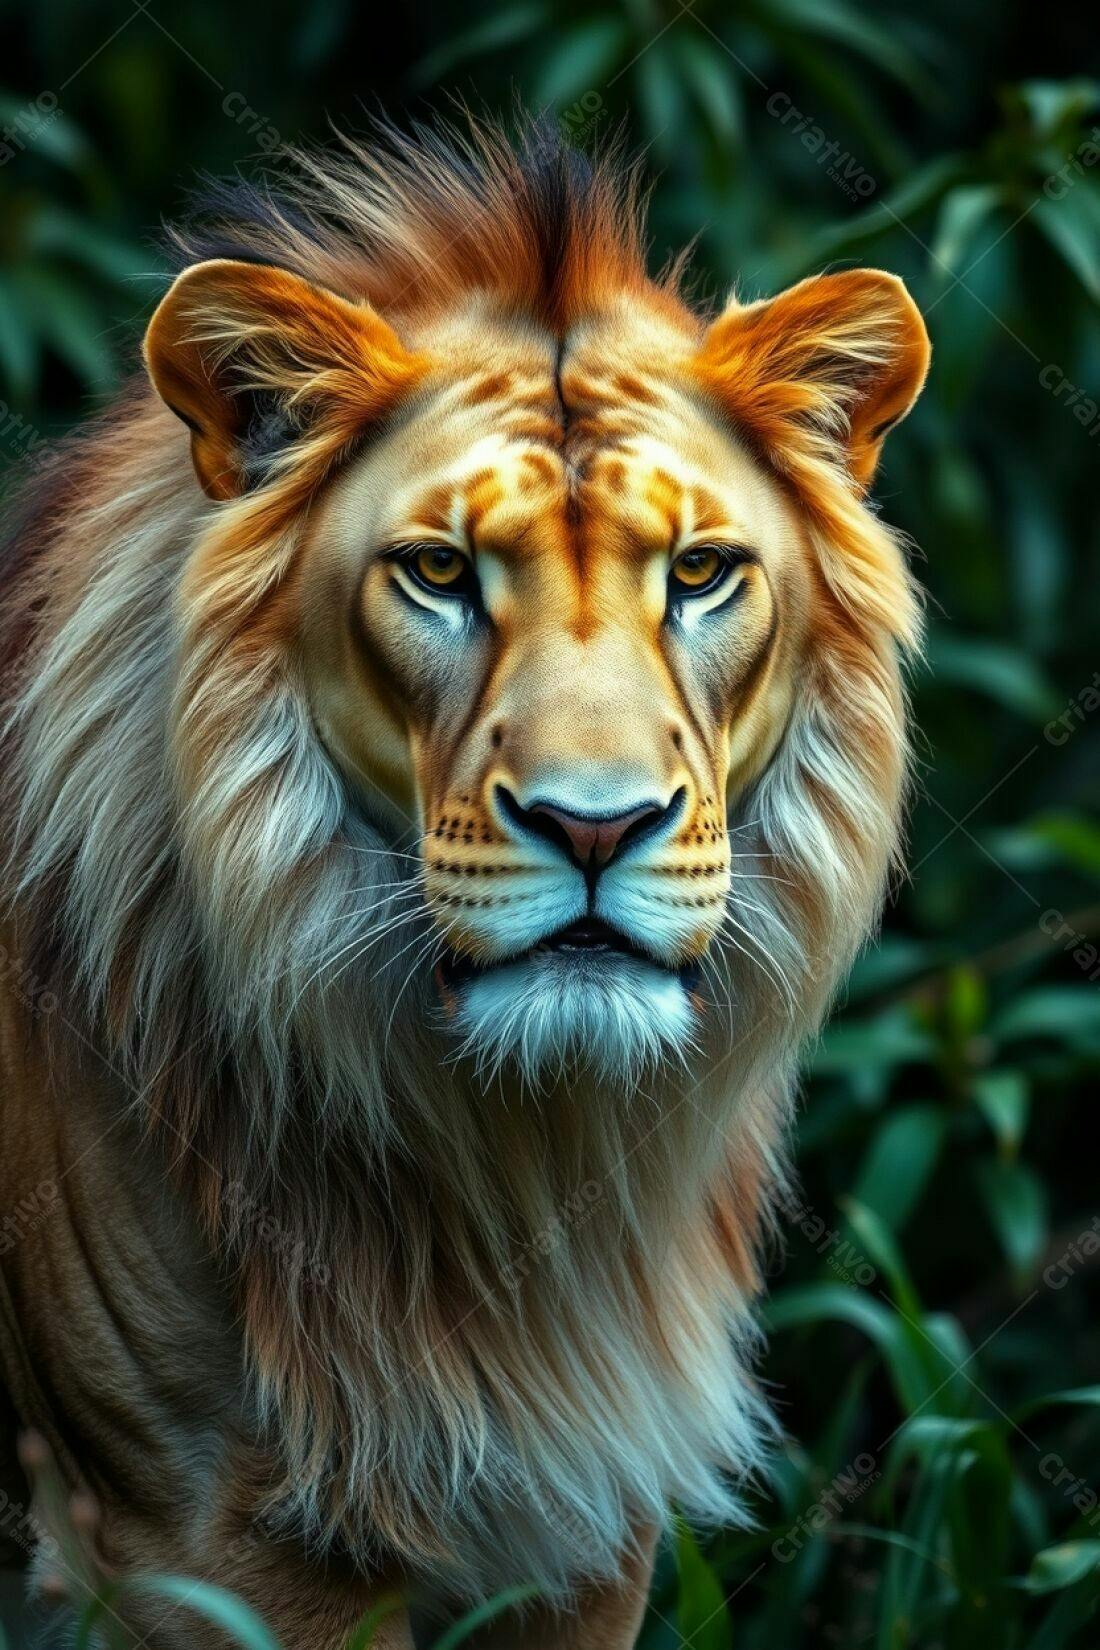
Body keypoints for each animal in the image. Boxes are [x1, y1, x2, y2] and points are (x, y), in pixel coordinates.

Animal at [0, 118, 929, 1647]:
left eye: (701, 572)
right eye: (437, 572)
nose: (595, 828)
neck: (507, 1159)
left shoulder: (585, 1517)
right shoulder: (205, 1529)